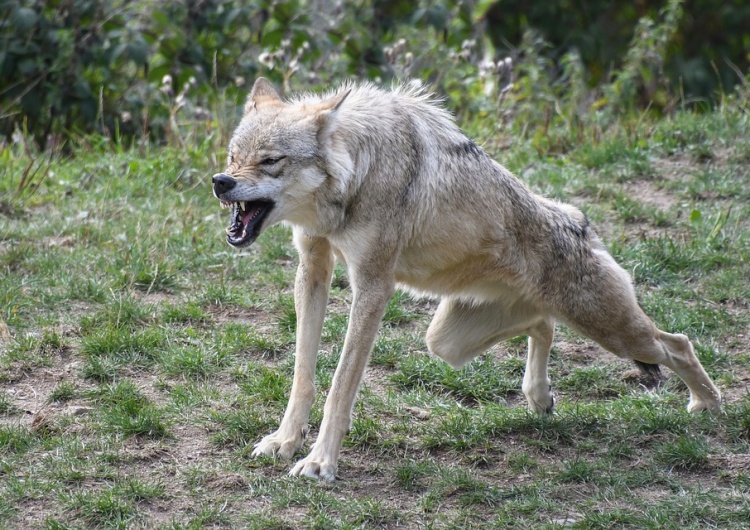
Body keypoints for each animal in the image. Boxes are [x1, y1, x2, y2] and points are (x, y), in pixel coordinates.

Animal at [212, 77, 724, 478]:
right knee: (543, 324)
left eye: (271, 161)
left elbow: (340, 385)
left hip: (614, 332)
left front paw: (320, 462)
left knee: (678, 343)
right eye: (234, 155)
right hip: (446, 342)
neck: (358, 172)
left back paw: (709, 407)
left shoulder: (373, 286)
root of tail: (581, 221)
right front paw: (284, 441)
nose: (221, 182)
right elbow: (303, 374)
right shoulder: (313, 269)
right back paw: (540, 397)